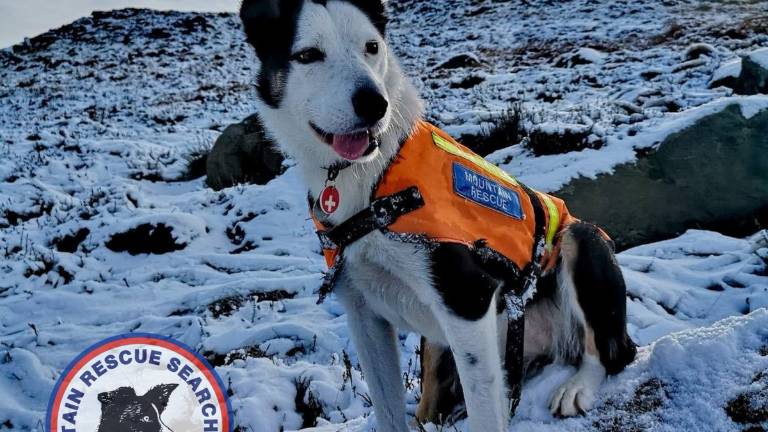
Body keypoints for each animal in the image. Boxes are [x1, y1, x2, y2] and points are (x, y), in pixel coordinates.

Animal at [238, 1, 636, 430]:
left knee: (610, 350)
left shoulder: (467, 301)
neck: (375, 180)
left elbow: (485, 414)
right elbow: (389, 411)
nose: (374, 104)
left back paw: (576, 387)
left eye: (371, 47)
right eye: (308, 55)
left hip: (581, 240)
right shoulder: (364, 315)